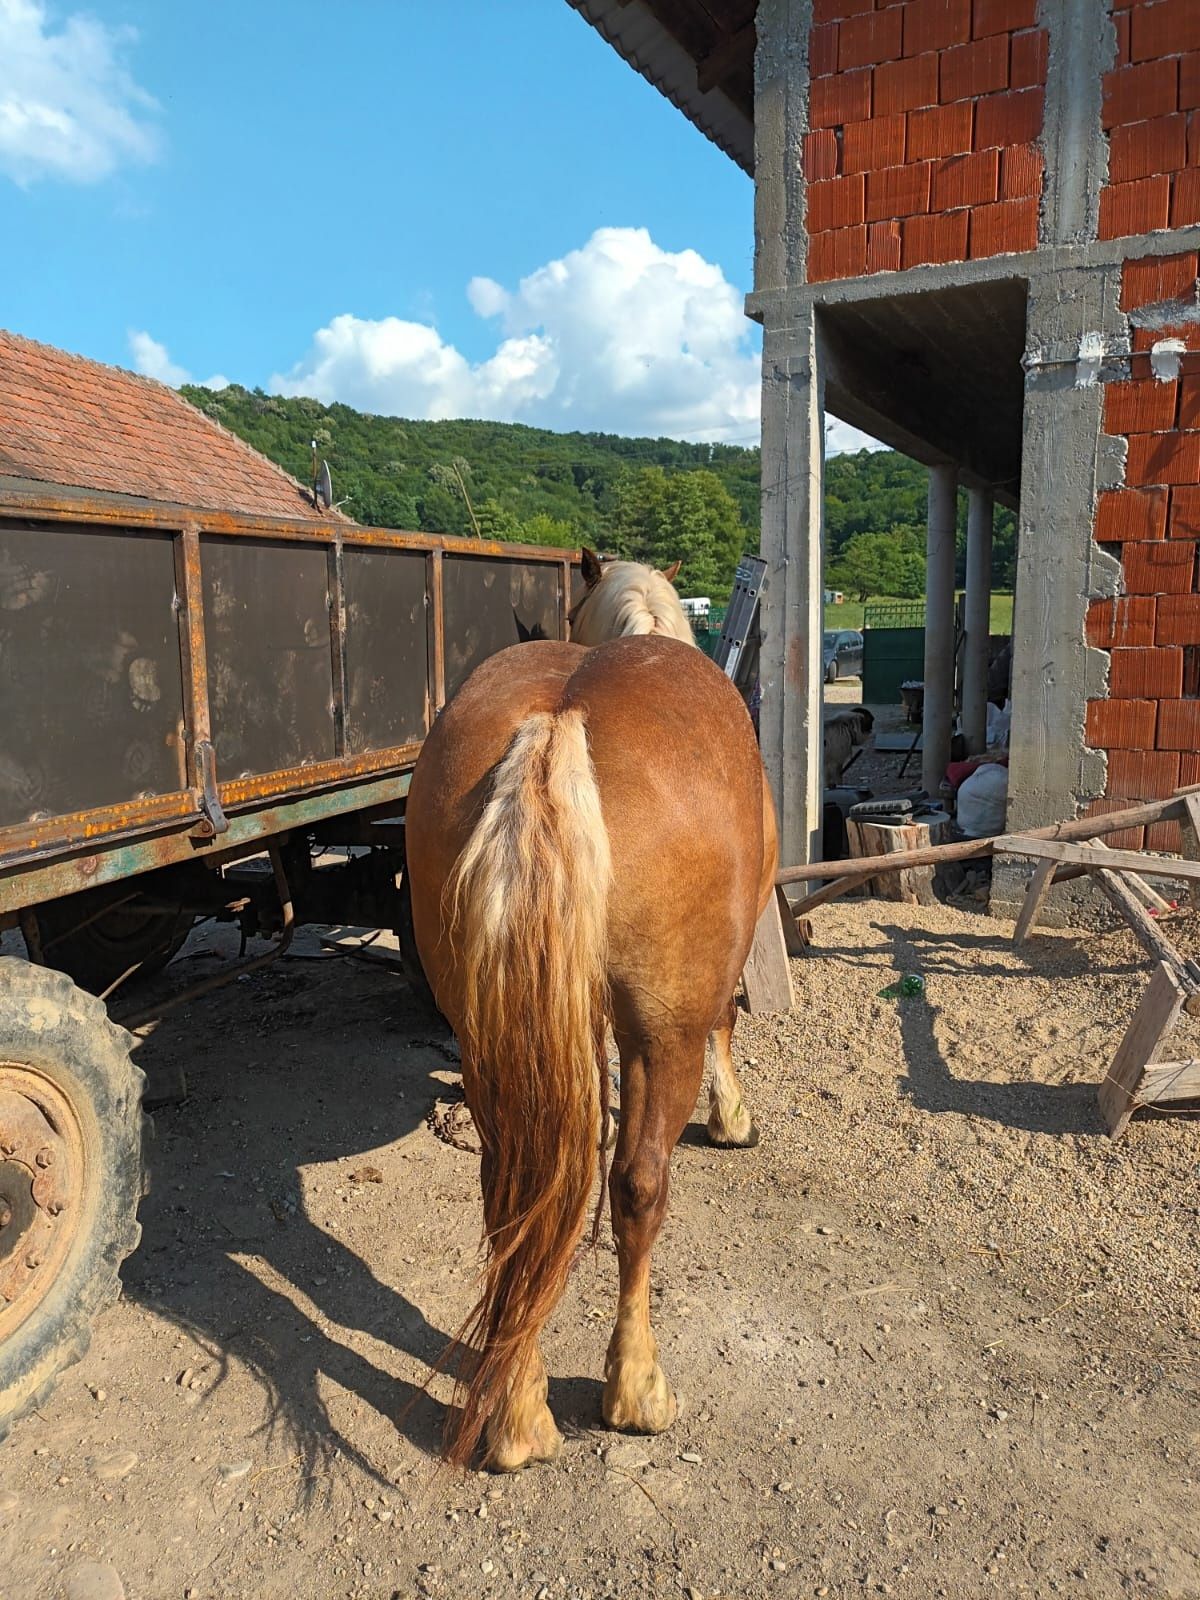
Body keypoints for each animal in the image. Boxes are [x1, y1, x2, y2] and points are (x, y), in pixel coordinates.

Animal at [406, 576, 780, 1472]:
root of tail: (559, 719)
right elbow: (726, 1024)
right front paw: (734, 1117)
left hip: (486, 1039)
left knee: (513, 1194)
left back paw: (516, 1418)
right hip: (660, 1034)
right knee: (639, 1184)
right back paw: (636, 1392)